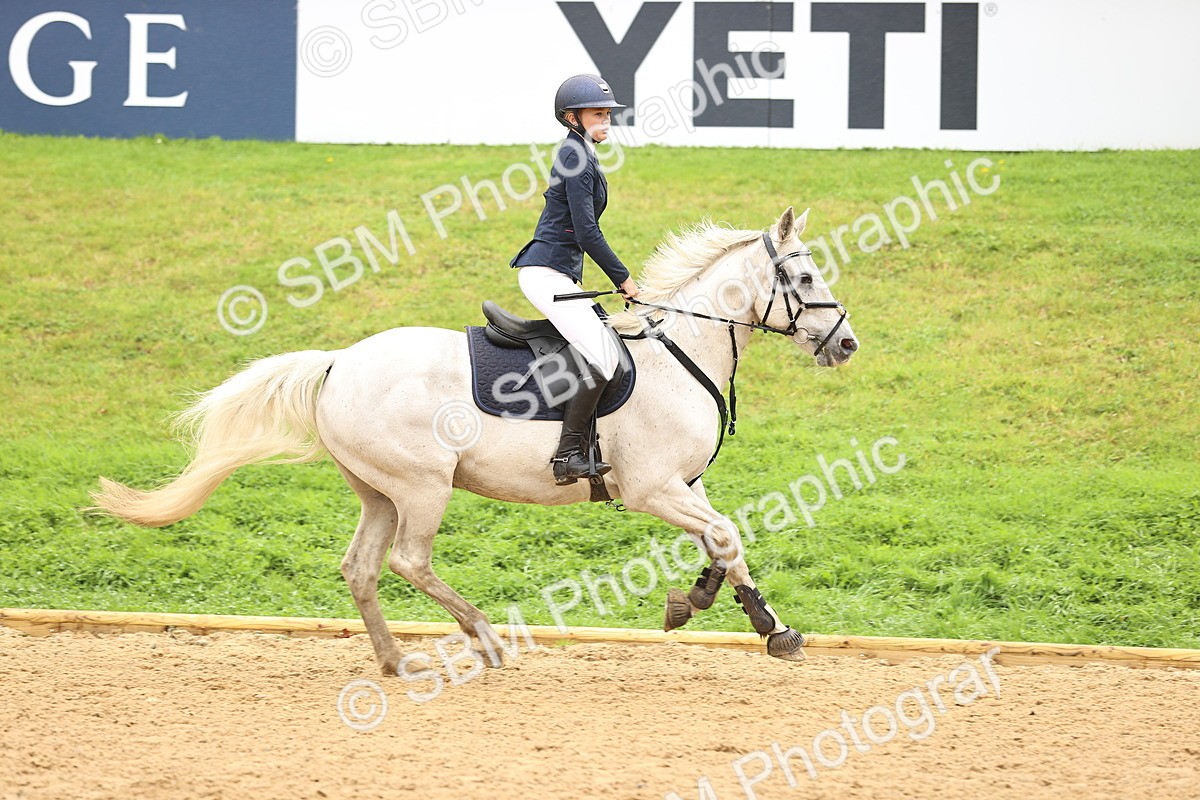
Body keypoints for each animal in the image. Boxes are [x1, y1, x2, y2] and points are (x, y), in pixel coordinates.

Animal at [90, 206, 858, 675]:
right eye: (805, 276)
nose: (846, 344)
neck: (680, 351)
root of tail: (339, 361)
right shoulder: (651, 488)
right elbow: (726, 534)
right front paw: (770, 629)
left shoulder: (683, 486)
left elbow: (721, 540)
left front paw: (704, 603)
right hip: (421, 486)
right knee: (408, 562)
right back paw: (485, 637)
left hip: (378, 491)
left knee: (361, 567)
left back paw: (396, 661)